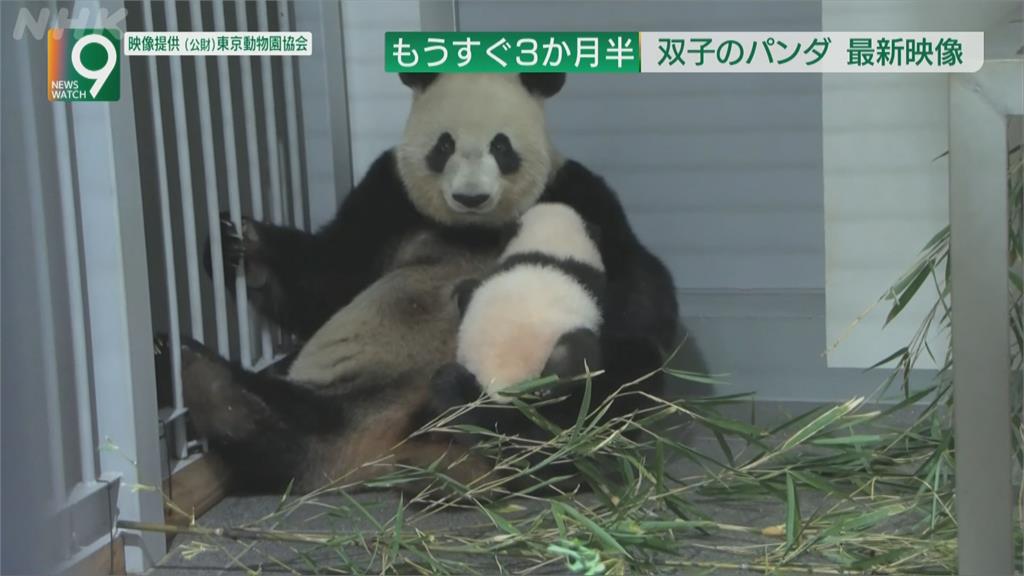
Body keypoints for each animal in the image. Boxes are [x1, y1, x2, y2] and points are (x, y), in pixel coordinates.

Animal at [184, 72, 679, 494]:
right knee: (286, 429)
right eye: (444, 145)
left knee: (622, 375)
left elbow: (637, 288)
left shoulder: (576, 190)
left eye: (501, 146)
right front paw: (235, 240)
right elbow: (327, 279)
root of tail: (383, 449)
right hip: (339, 392)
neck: (473, 227)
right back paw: (217, 386)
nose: (470, 196)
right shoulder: (387, 197)